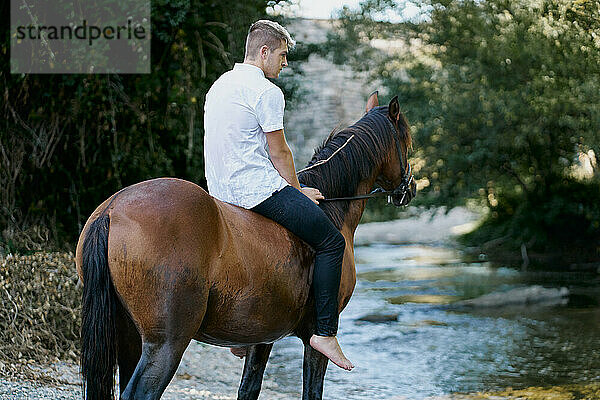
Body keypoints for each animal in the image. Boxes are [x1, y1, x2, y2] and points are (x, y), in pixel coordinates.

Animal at [75, 92, 414, 398]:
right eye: (407, 143)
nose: (410, 189)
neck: (332, 207)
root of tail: (112, 209)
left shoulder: (262, 336)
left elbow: (249, 388)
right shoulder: (314, 337)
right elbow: (311, 390)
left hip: (129, 338)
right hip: (165, 344)